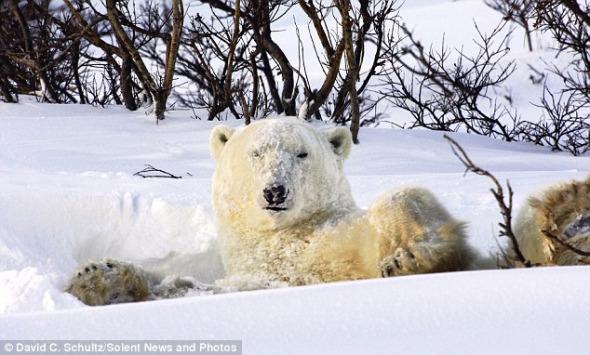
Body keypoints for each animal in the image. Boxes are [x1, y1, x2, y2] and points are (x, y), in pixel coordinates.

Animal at [66, 117, 480, 306]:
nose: (275, 190)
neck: (283, 236)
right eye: (256, 152)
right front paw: (96, 276)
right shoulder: (263, 264)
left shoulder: (334, 238)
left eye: (302, 153)